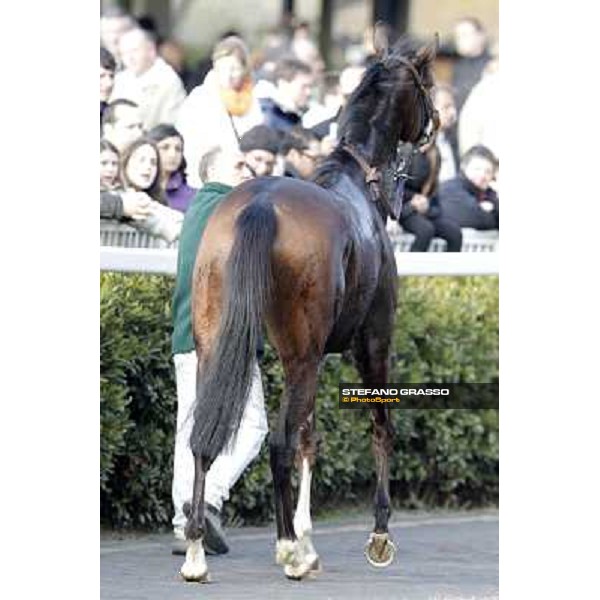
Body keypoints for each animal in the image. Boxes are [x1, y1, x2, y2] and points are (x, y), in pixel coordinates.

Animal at [180, 32, 438, 580]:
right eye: (426, 83)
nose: (437, 124)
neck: (357, 181)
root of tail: (260, 205)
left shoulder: (314, 354)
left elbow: (310, 437)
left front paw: (309, 535)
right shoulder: (373, 342)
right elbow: (378, 425)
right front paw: (376, 534)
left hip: (219, 345)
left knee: (203, 438)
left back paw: (196, 553)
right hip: (302, 355)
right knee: (278, 443)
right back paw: (287, 551)